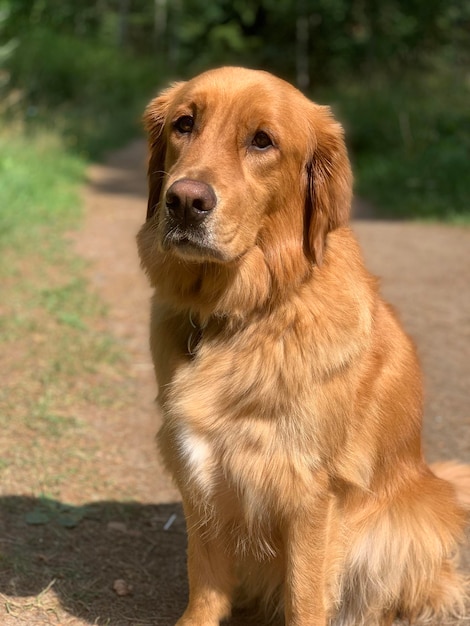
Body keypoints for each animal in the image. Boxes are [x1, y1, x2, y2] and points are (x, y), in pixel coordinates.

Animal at [137, 68, 470, 624]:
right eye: (185, 124)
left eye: (262, 141)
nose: (184, 201)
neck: (244, 313)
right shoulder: (197, 469)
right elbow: (204, 578)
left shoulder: (311, 491)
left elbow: (305, 595)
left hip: (411, 524)